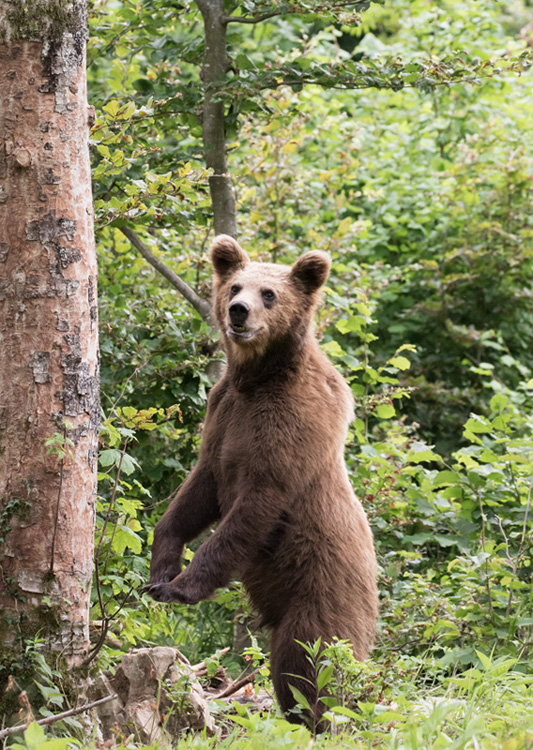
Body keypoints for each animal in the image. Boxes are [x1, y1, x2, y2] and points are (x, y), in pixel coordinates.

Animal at [144, 236, 378, 724]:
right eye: (235, 285)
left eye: (269, 293)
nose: (238, 311)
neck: (257, 378)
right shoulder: (223, 415)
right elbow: (195, 493)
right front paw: (161, 570)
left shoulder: (290, 425)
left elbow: (252, 508)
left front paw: (181, 587)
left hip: (322, 586)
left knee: (308, 656)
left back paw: (314, 716)